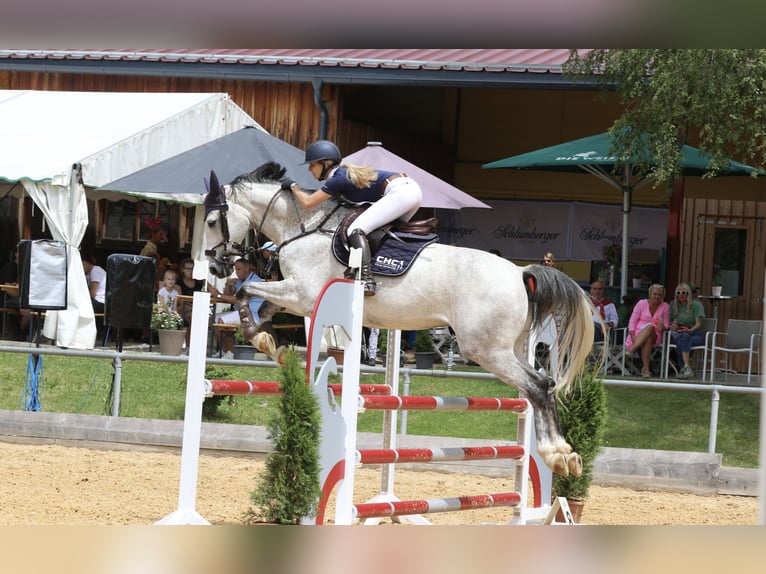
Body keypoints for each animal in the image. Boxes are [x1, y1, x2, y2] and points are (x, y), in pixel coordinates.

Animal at [204, 162, 594, 477]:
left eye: (209, 221)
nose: (213, 267)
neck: (305, 226)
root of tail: (519, 272)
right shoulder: (299, 298)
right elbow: (263, 306)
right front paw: (271, 342)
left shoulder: (303, 294)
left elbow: (247, 292)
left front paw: (259, 335)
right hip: (508, 347)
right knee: (540, 384)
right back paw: (563, 455)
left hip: (484, 349)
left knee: (539, 386)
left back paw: (557, 455)